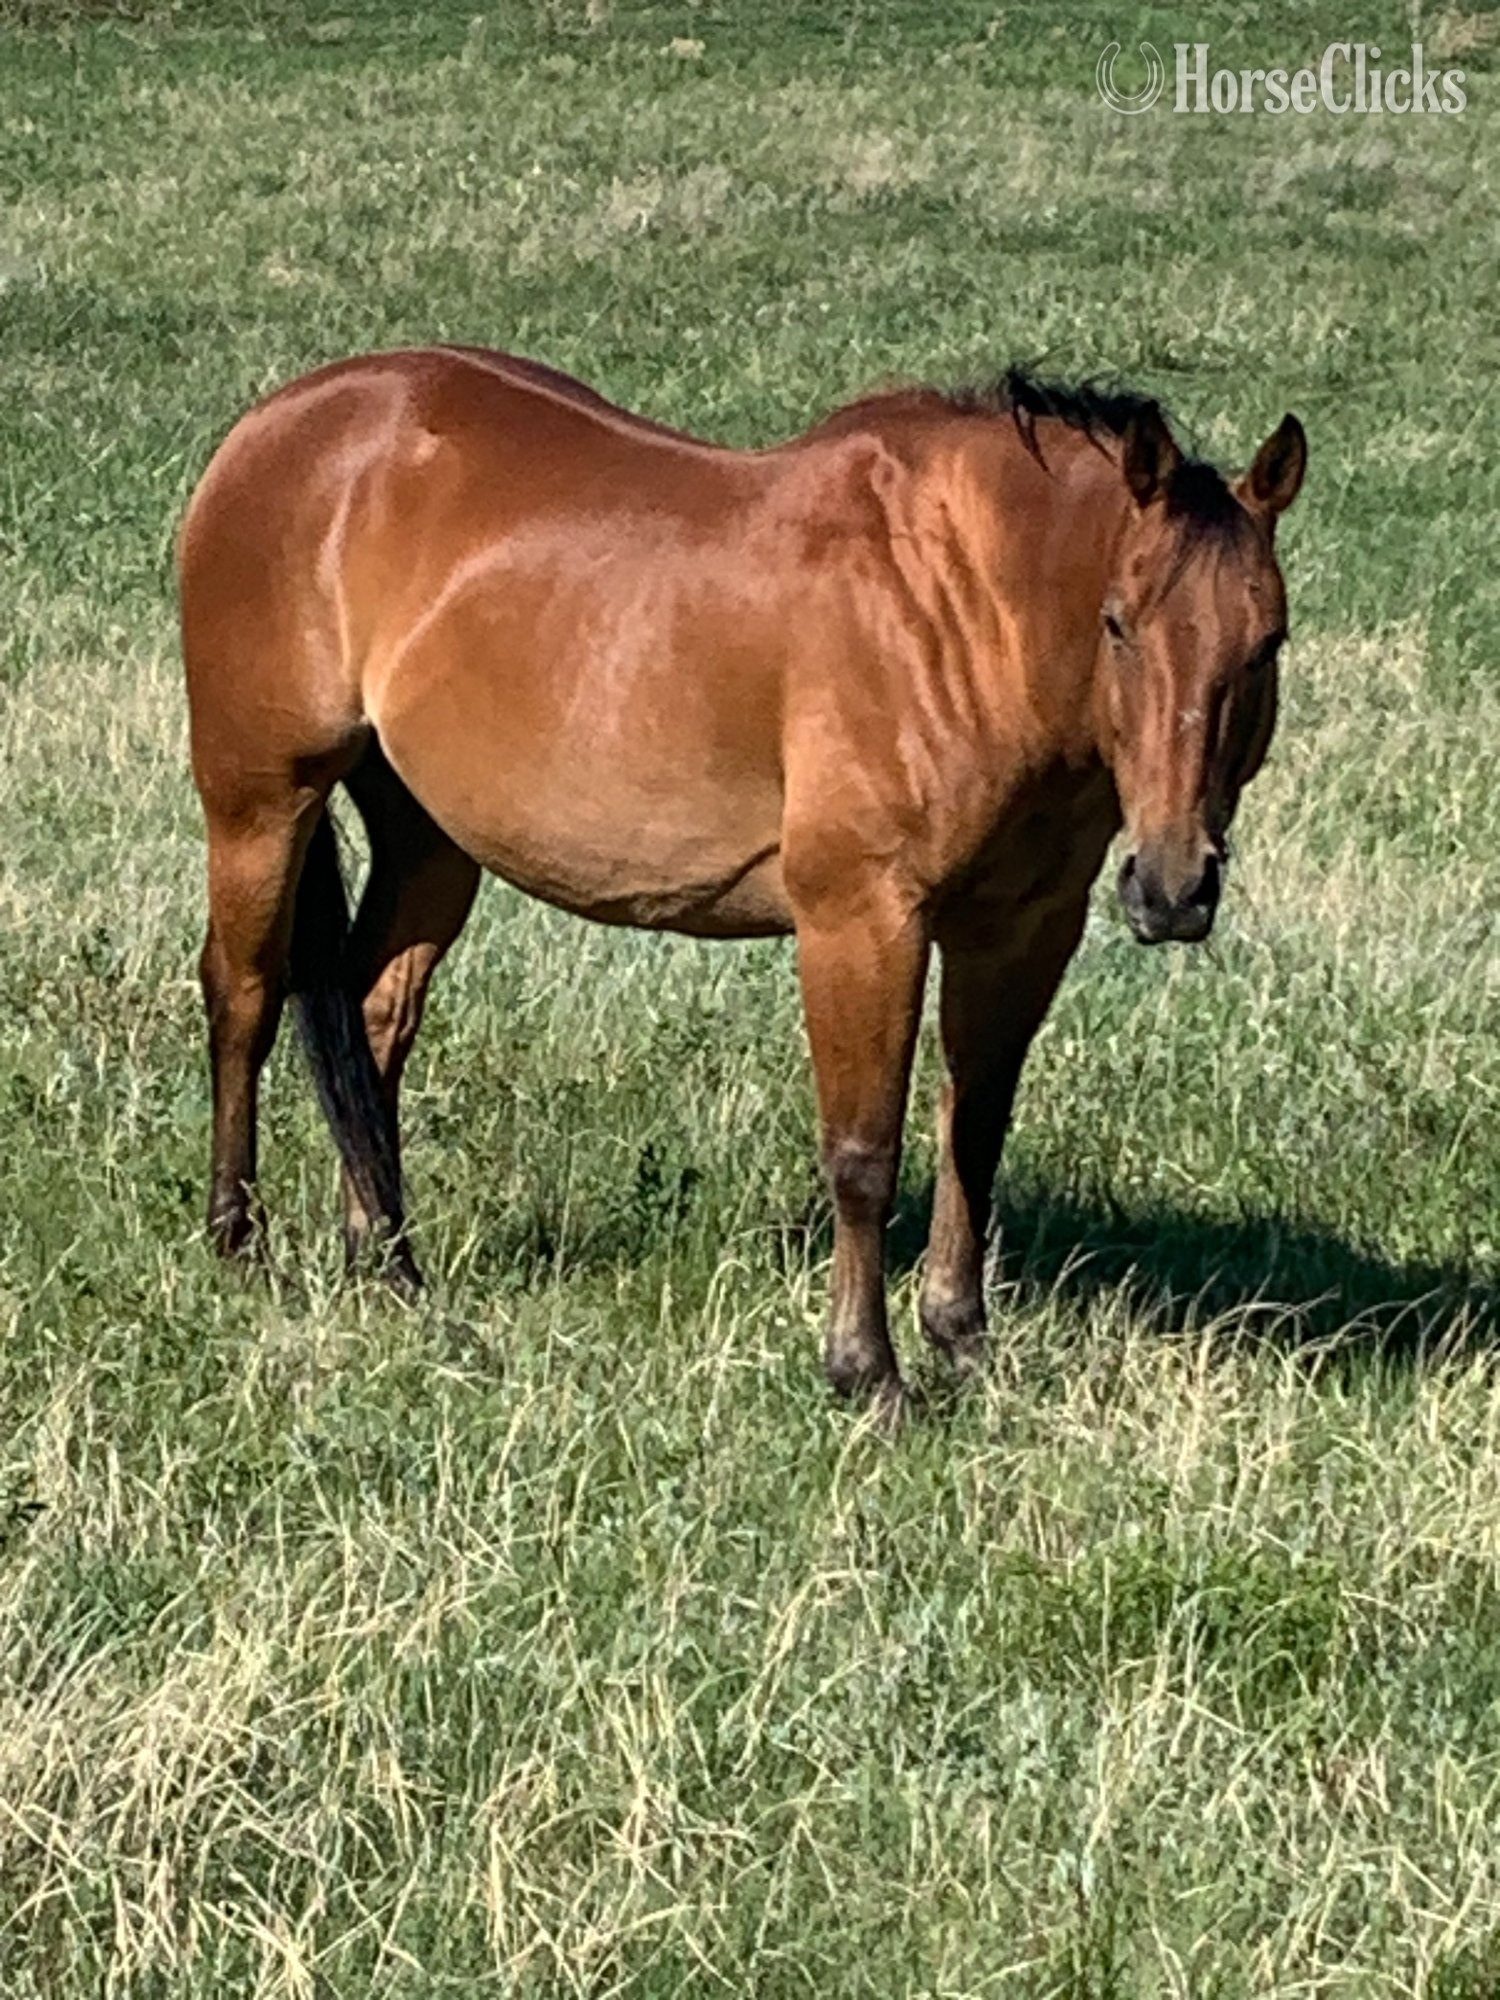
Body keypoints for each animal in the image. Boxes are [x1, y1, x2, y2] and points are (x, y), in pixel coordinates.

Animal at [180, 347, 1305, 1415]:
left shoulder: (1021, 930)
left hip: (429, 839)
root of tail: (278, 425)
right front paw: (868, 1372)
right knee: (245, 997)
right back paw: (238, 1241)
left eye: (1267, 641)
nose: (1174, 888)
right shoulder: (862, 921)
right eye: (1119, 622)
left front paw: (962, 1341)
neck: (960, 608)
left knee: (371, 1021)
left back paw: (387, 1262)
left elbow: (972, 1134)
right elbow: (863, 1151)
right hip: (261, 806)